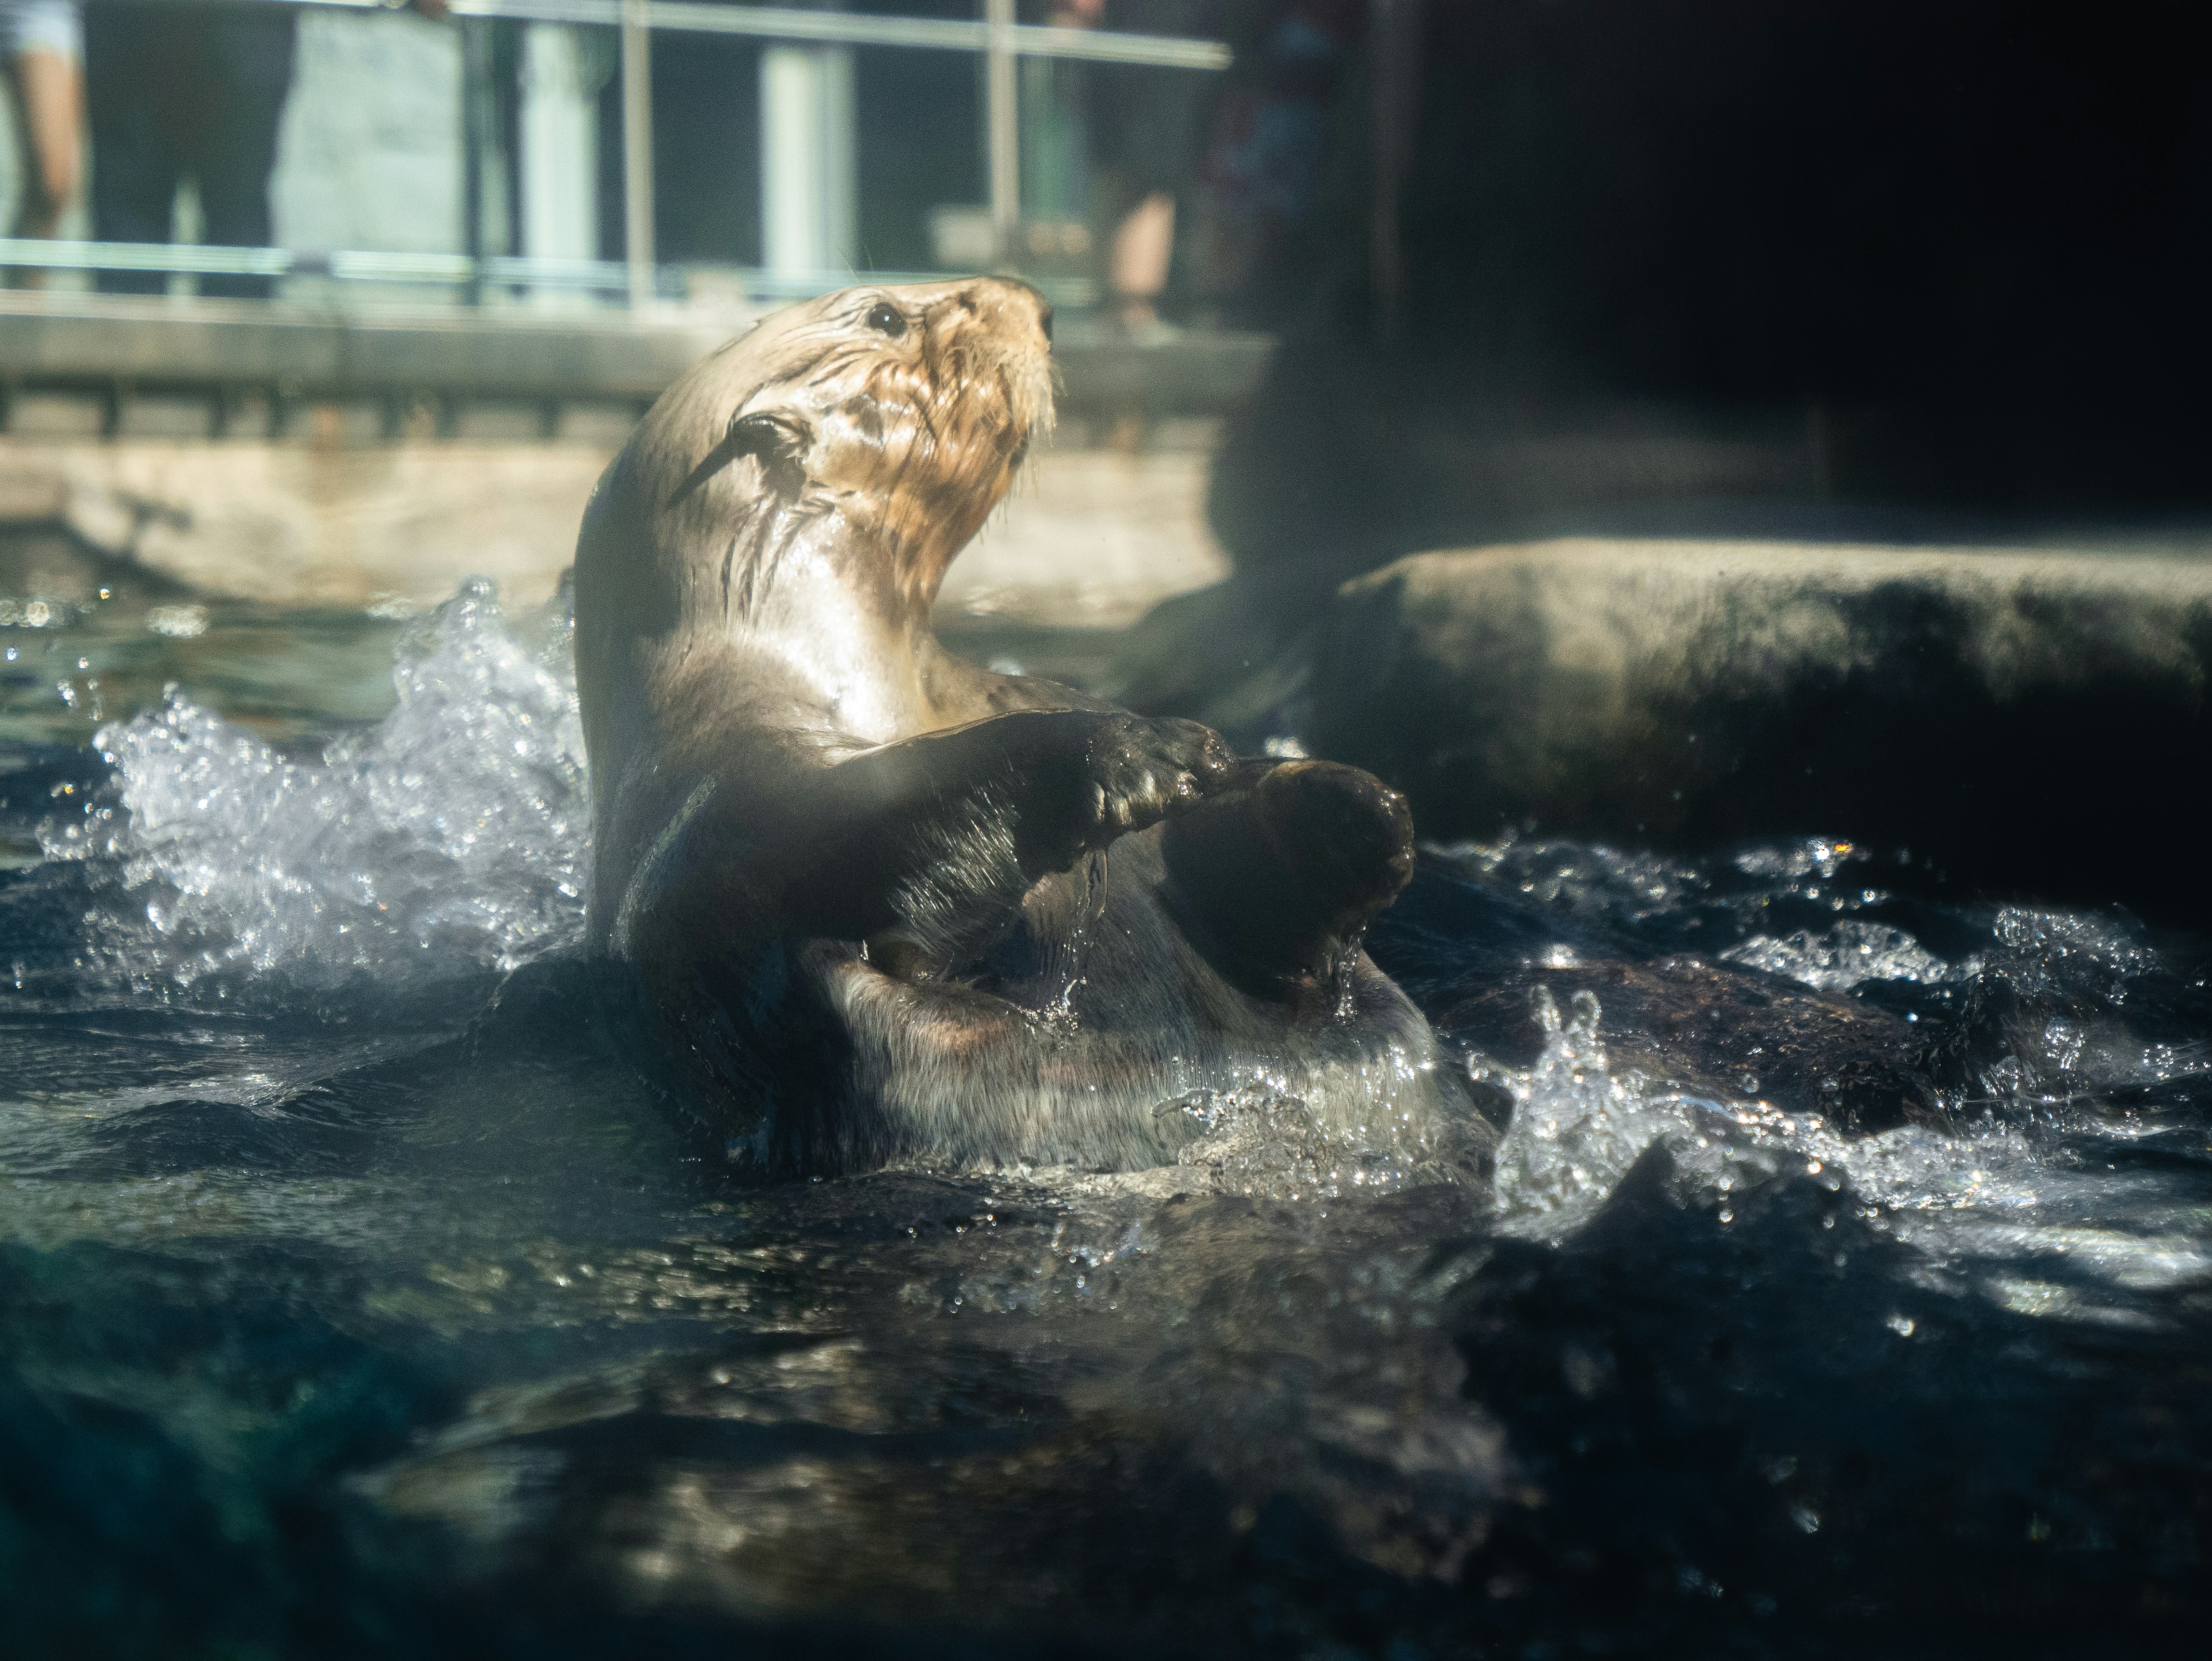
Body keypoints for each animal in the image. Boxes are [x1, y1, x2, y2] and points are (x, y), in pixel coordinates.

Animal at [574, 277, 1484, 1177]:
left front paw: (1344, 802)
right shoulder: (732, 818)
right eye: (886, 315)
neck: (880, 688)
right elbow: (874, 829)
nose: (1036, 304)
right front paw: (1145, 755)